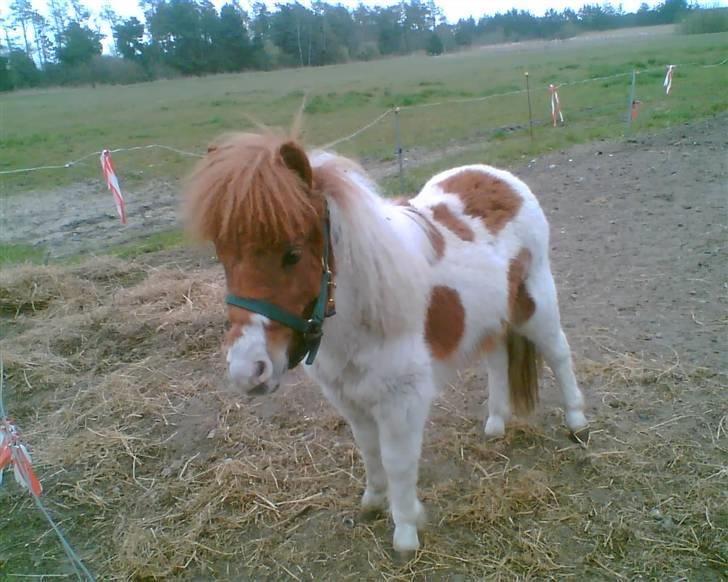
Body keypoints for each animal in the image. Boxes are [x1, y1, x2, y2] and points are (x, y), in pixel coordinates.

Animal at [185, 130, 588, 556]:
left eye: (292, 254)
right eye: (222, 255)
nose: (248, 370)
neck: (361, 313)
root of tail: (502, 179)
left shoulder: (402, 401)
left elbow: (398, 461)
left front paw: (406, 531)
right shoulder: (351, 399)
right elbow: (369, 451)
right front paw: (375, 502)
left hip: (535, 305)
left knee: (559, 353)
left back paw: (577, 420)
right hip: (490, 316)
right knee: (496, 359)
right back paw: (495, 423)